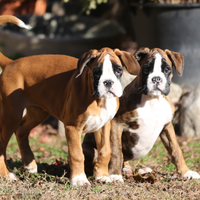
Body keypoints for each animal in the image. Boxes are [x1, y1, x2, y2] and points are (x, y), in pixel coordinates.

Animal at [0, 15, 140, 186]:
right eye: (96, 72)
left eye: (118, 70)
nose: (108, 82)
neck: (98, 100)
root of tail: (11, 63)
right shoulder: (73, 127)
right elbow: (77, 154)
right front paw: (79, 179)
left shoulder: (104, 126)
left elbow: (105, 151)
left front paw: (102, 176)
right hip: (11, 115)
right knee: (2, 143)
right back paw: (6, 175)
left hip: (38, 113)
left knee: (21, 131)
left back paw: (30, 165)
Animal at [82, 47, 200, 182]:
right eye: (146, 69)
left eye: (166, 69)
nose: (156, 78)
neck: (153, 99)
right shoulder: (116, 125)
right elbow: (116, 152)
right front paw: (115, 175)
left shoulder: (167, 127)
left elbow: (176, 150)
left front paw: (186, 172)